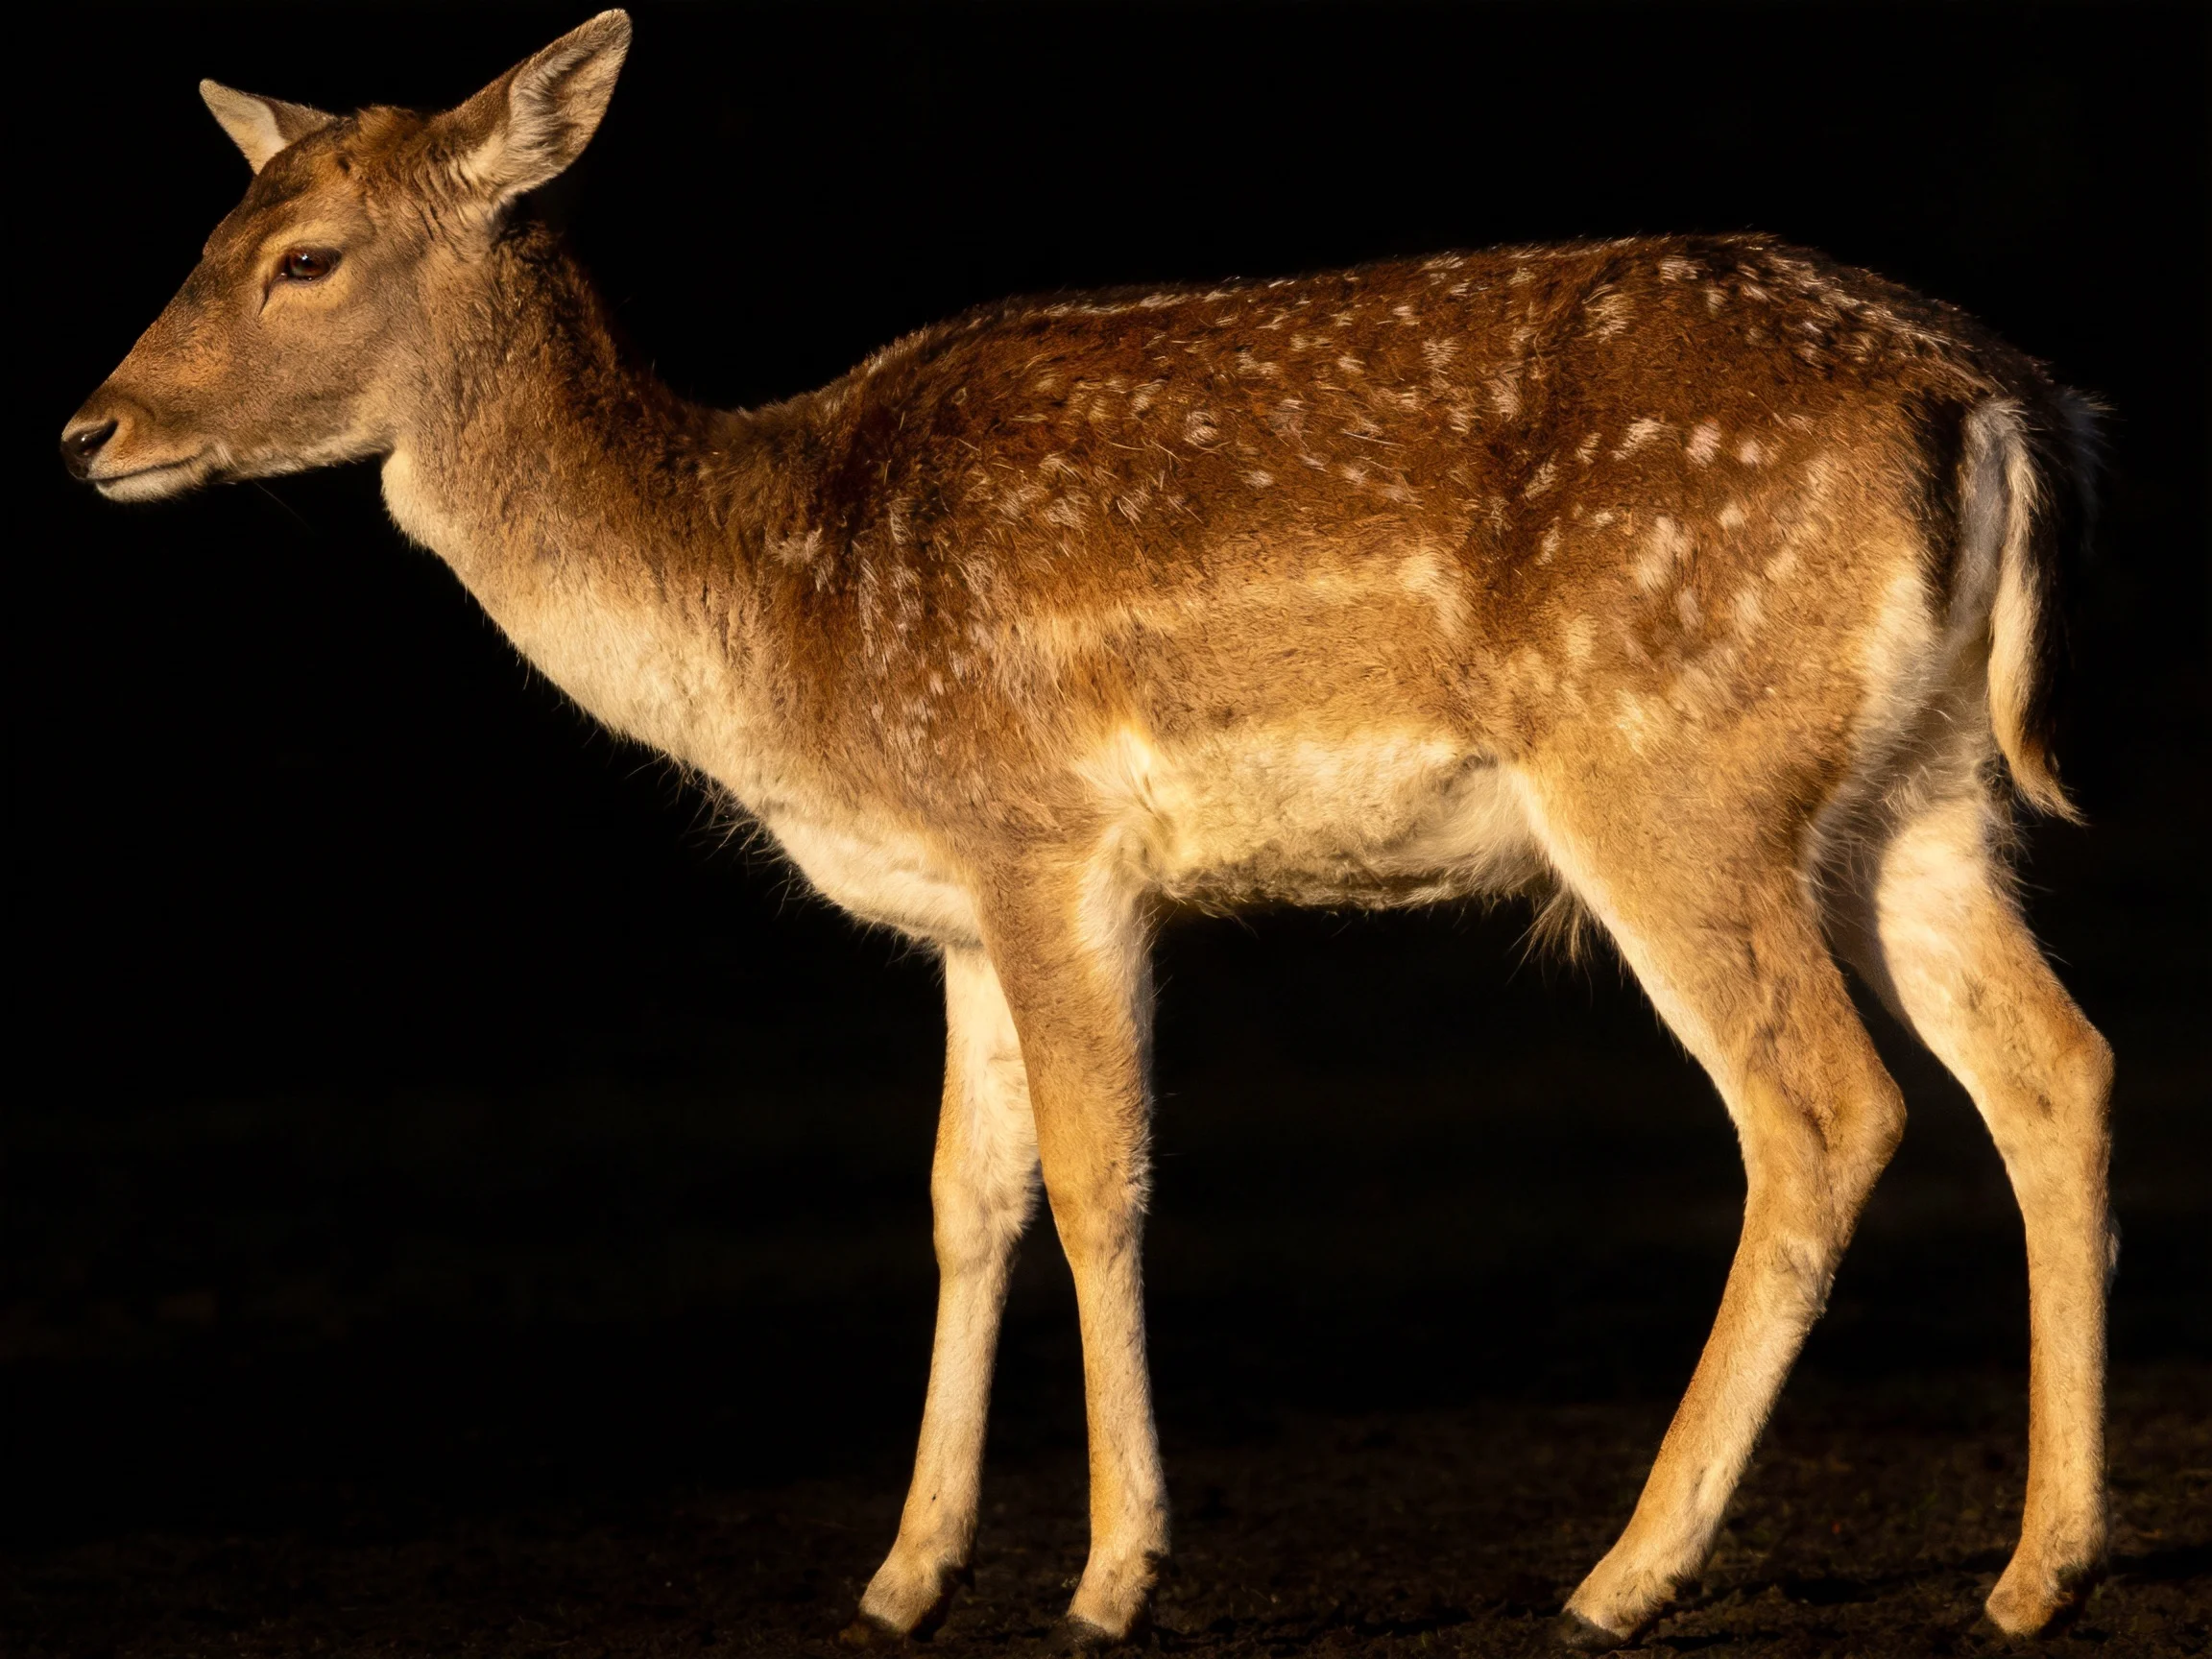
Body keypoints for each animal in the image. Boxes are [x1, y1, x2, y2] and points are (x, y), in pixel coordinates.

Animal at [60, 11, 2116, 1649]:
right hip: (1915, 793)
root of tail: (1993, 405)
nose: (91, 430)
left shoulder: (1045, 838)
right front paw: (903, 1573)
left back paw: (1626, 1571)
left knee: (1822, 1104)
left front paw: (1112, 1572)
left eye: (303, 256)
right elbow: (959, 1197)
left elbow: (1090, 1182)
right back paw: (2039, 1564)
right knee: (2054, 1063)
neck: (779, 628)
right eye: (208, 231)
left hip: (1664, 772)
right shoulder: (953, 902)